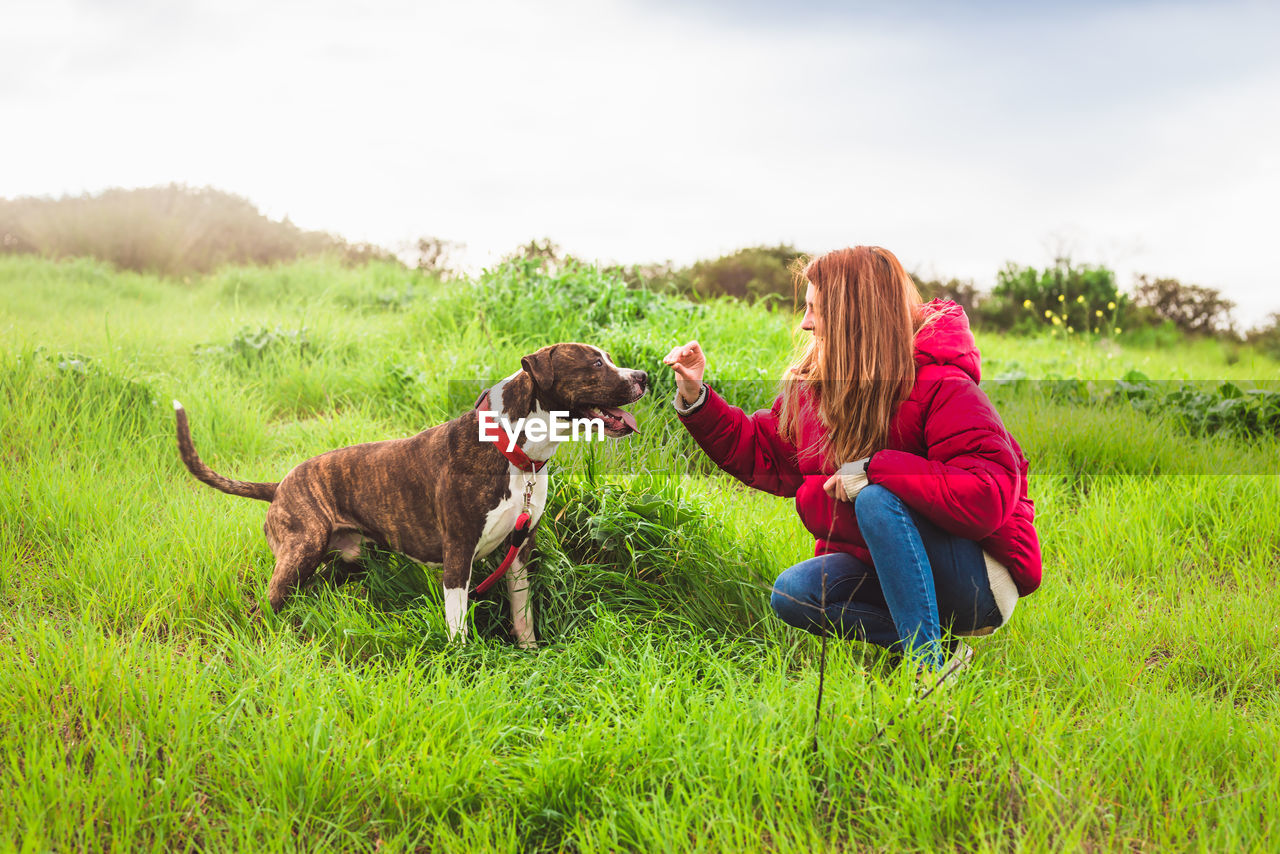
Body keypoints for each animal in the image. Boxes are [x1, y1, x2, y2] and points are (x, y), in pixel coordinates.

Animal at [175, 343, 645, 647]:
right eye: (595, 363)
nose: (643, 376)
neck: (513, 449)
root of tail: (279, 485)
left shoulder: (520, 551)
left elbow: (522, 612)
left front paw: (530, 655)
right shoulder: (457, 554)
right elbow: (458, 624)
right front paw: (465, 664)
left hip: (345, 558)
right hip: (300, 550)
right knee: (268, 603)